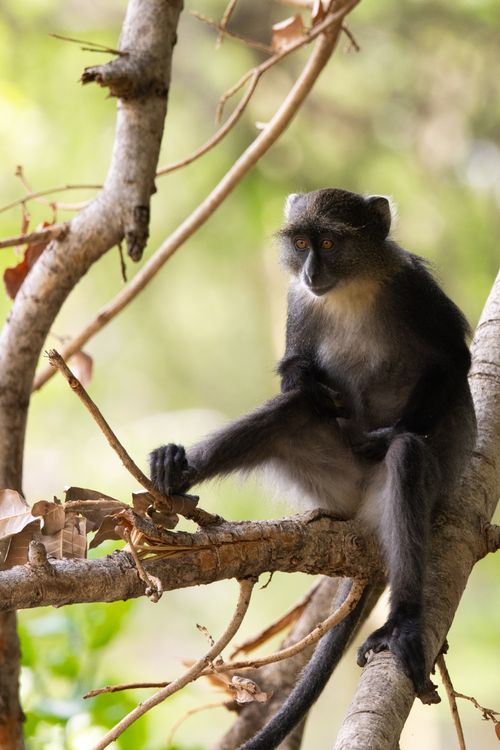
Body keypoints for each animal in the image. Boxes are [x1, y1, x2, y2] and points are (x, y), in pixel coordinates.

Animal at [149, 188, 476, 749]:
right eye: (301, 243)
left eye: (327, 242)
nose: (309, 270)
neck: (351, 289)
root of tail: (361, 503)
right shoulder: (298, 304)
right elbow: (298, 382)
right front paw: (301, 375)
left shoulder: (413, 287)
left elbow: (455, 360)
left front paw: (383, 436)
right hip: (333, 479)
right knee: (296, 410)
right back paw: (180, 469)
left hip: (412, 484)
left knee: (410, 458)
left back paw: (403, 623)